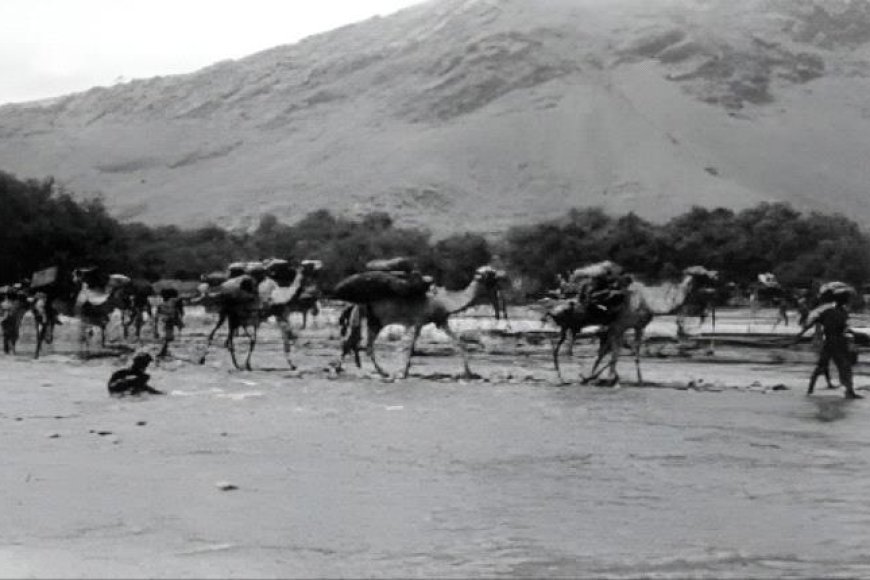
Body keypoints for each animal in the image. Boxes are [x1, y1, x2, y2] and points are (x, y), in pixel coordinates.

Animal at [336, 266, 510, 378]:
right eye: (491, 275)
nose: (504, 275)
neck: (444, 301)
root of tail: (354, 304)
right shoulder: (418, 321)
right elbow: (410, 348)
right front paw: (403, 373)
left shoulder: (440, 320)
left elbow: (459, 343)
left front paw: (469, 373)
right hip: (373, 320)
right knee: (360, 345)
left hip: (372, 320)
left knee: (359, 344)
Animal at [584, 266, 720, 386]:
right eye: (702, 273)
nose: (715, 274)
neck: (647, 303)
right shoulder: (618, 326)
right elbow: (615, 352)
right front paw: (610, 379)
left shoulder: (638, 327)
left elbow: (634, 352)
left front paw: (639, 381)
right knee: (605, 349)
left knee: (604, 349)